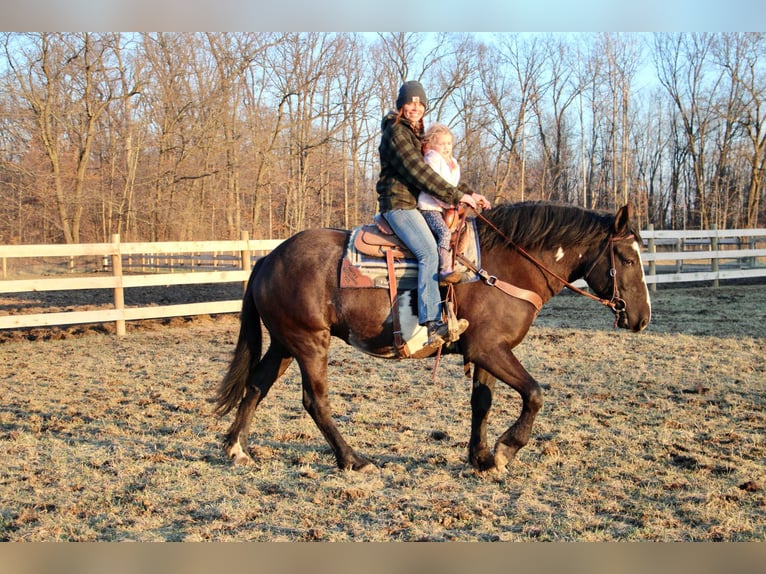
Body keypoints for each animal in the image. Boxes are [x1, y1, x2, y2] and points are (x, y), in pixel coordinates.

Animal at [213, 201, 652, 472]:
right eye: (627, 259)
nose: (643, 318)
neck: (502, 268)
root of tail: (268, 258)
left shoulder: (488, 351)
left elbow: (482, 403)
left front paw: (481, 458)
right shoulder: (489, 349)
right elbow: (534, 394)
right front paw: (505, 449)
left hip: (285, 343)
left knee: (256, 385)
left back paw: (237, 449)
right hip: (309, 343)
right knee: (314, 401)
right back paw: (353, 459)